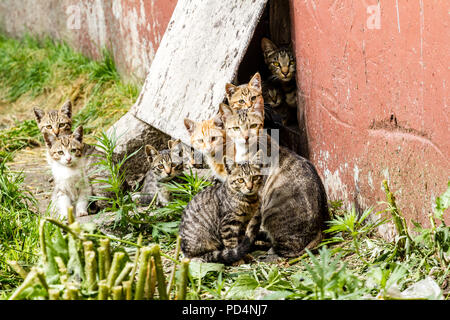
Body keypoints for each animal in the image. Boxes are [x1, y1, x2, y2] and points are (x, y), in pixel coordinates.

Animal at [220, 102, 328, 260]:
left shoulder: (255, 197)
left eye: (253, 125)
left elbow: (250, 225)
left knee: (289, 249)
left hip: (273, 215)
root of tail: (321, 228)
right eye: (236, 128)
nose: (245, 137)